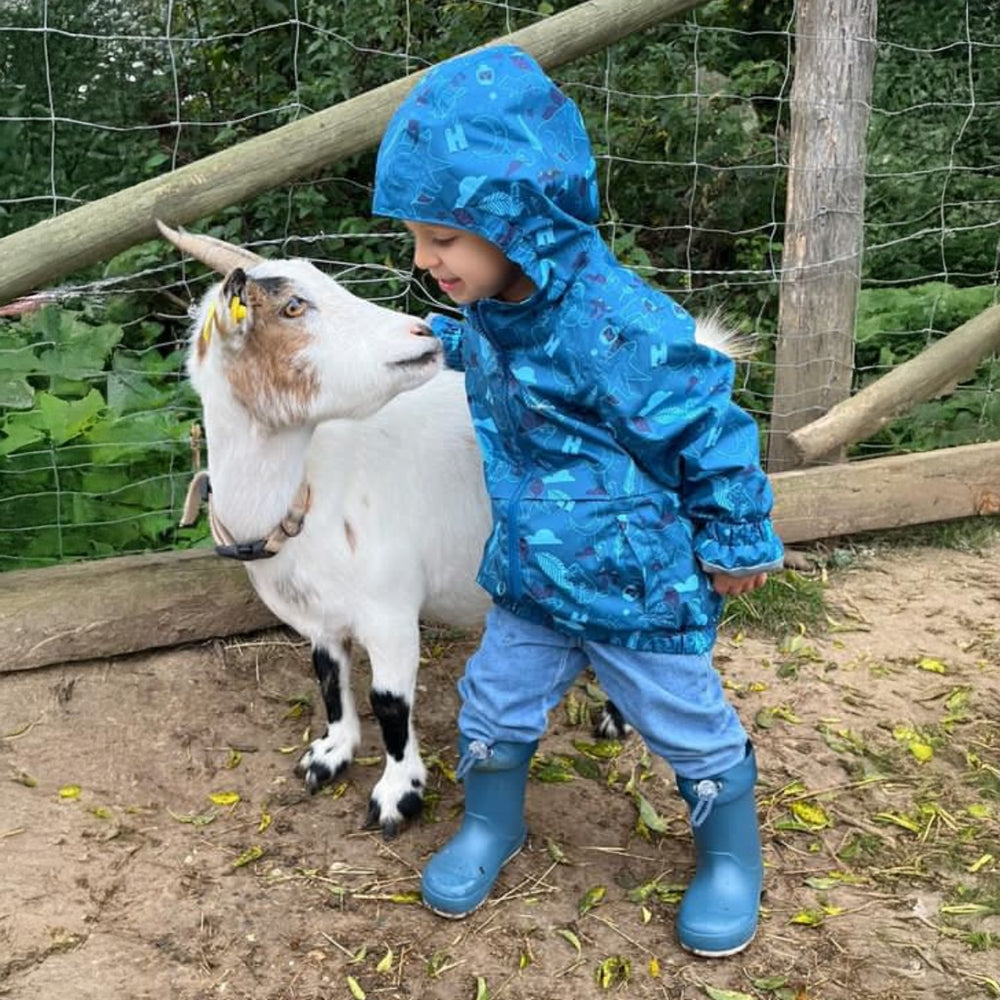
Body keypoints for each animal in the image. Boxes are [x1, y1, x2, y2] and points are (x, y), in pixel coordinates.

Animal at [162, 225, 744, 836]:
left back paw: (618, 718)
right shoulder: (317, 617)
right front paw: (330, 754)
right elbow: (328, 679)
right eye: (294, 306)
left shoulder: (390, 610)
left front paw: (399, 793)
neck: (308, 494)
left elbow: (388, 701)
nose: (420, 331)